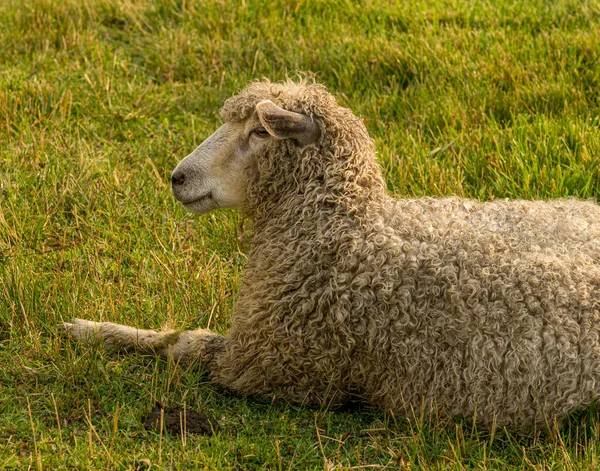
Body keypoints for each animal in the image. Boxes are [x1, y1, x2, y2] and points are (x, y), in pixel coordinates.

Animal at [64, 78, 600, 432]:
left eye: (261, 133)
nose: (177, 177)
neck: (342, 229)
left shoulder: (270, 364)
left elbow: (180, 342)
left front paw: (90, 330)